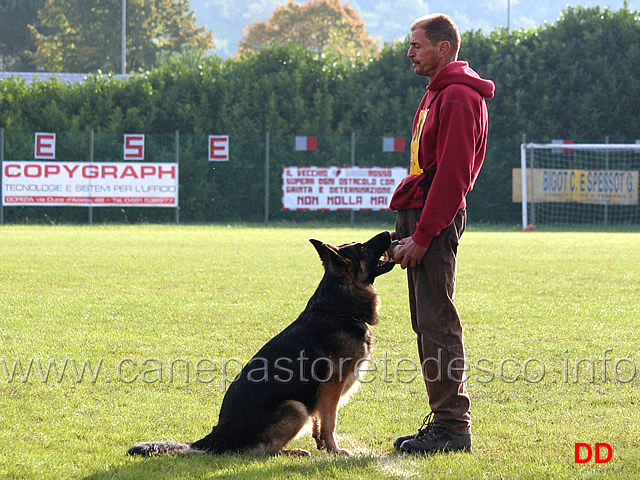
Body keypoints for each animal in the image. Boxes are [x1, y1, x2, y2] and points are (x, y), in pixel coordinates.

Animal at [127, 231, 392, 456]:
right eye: (363, 248)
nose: (388, 233)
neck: (338, 308)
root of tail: (215, 435)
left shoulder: (320, 396)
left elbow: (319, 424)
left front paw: (323, 447)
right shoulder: (331, 387)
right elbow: (330, 423)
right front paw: (334, 450)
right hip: (295, 407)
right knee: (263, 451)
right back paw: (293, 452)